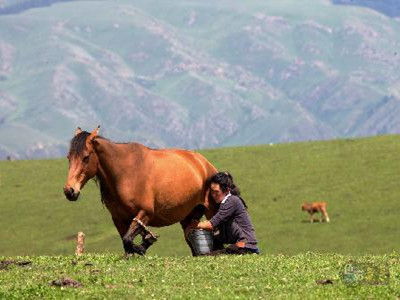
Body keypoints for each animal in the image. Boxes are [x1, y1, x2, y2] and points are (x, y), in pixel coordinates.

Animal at [63, 126, 217, 255]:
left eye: (86, 157)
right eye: (69, 157)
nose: (69, 190)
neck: (125, 174)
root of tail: (204, 163)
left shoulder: (144, 213)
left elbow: (128, 240)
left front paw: (144, 244)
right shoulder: (118, 218)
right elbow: (126, 244)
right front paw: (142, 244)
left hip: (211, 211)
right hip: (188, 216)